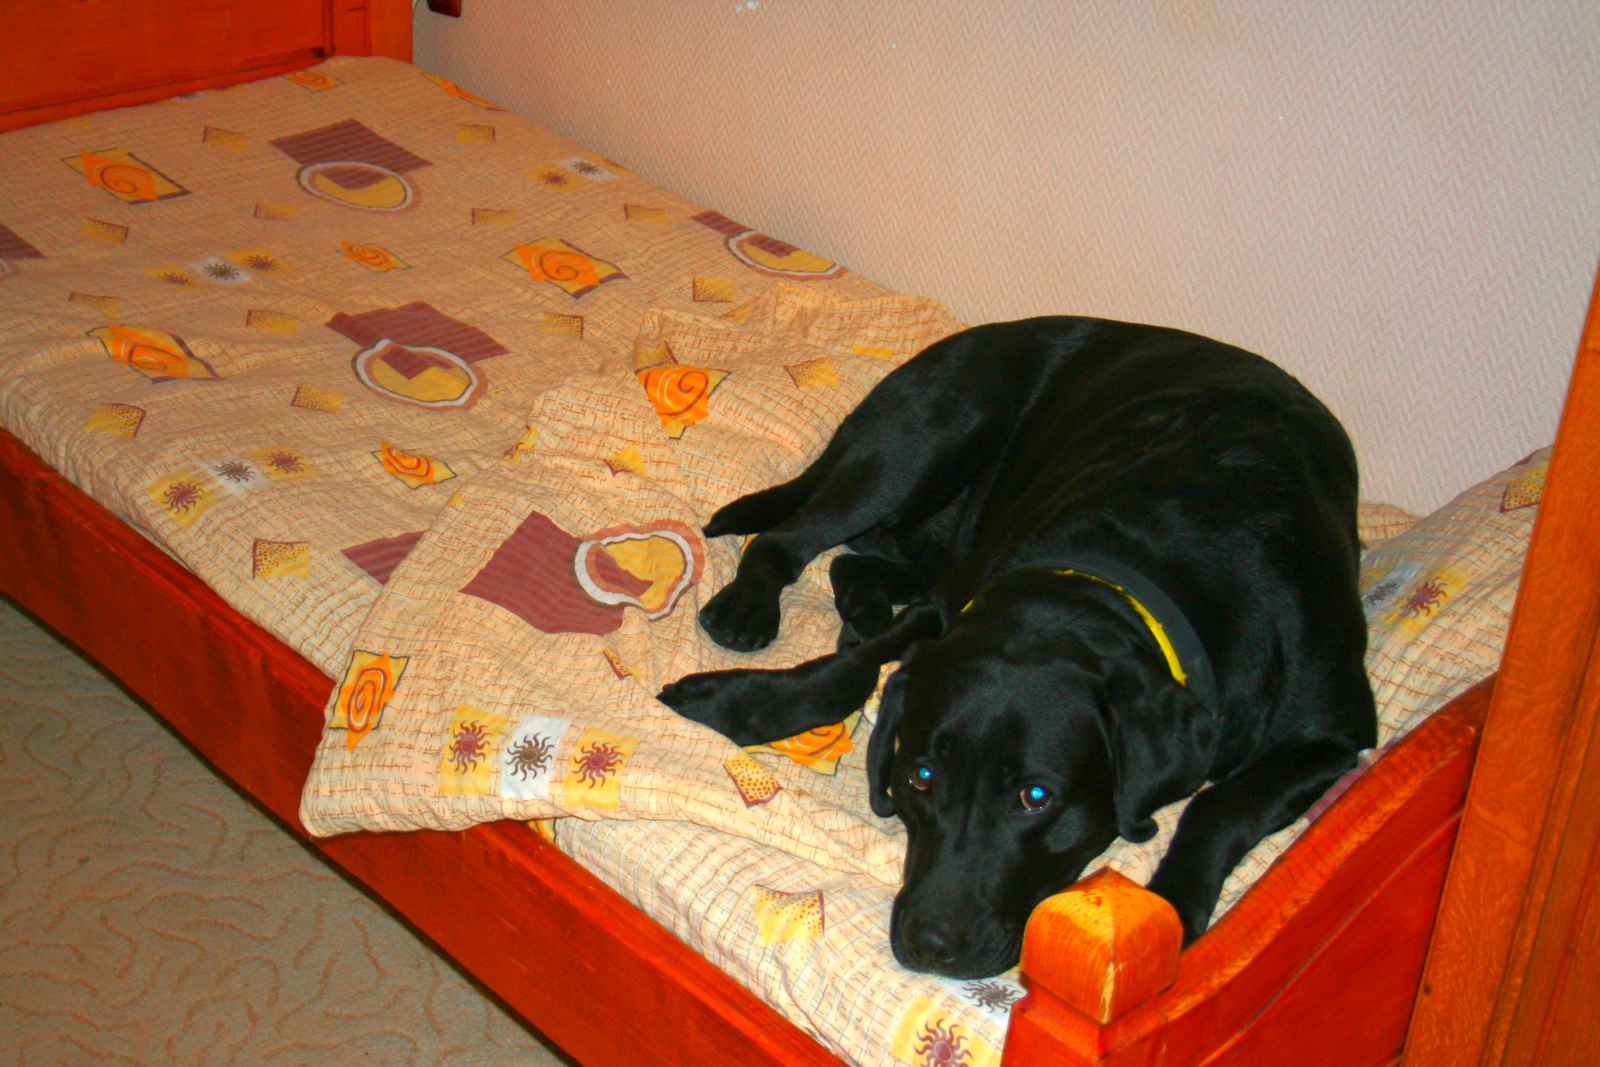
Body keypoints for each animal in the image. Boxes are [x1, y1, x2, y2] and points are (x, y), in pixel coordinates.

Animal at [658, 316, 1376, 978]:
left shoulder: (1334, 734)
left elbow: (1218, 805)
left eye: (1036, 796)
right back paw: (749, 607)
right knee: (788, 537)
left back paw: (858, 608)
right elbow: (852, 672)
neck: (1128, 576)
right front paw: (743, 704)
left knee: (853, 563)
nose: (930, 944)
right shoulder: (953, 606)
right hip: (922, 441)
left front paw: (1169, 908)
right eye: (920, 776)